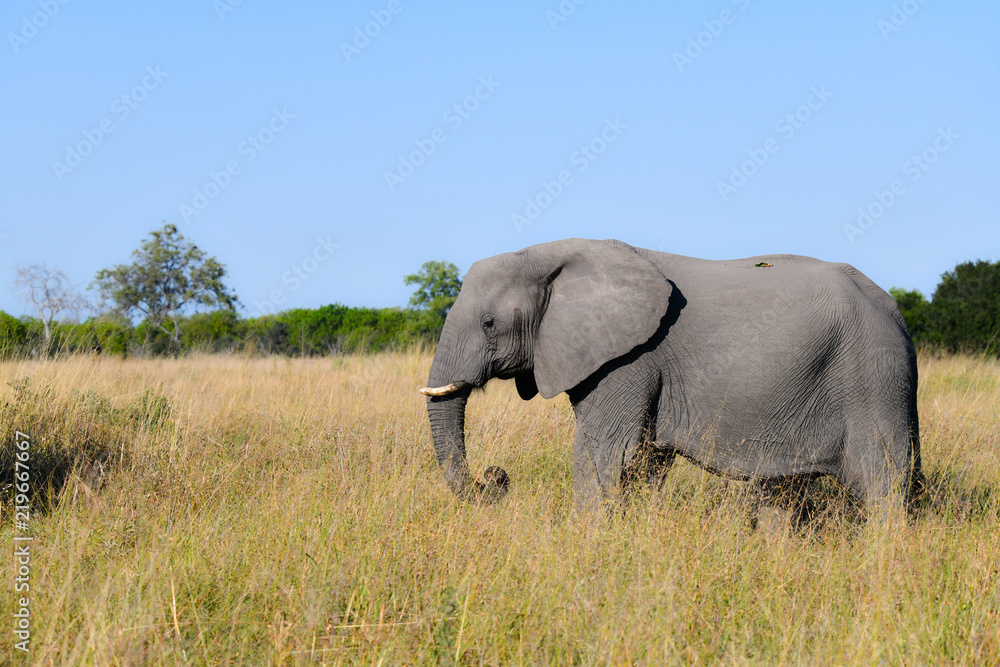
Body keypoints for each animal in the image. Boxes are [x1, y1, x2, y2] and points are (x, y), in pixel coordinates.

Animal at [416, 237, 920, 520]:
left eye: (488, 324)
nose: (495, 476)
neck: (548, 254)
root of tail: (894, 309)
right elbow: (644, 461)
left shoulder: (630, 360)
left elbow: (604, 452)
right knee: (783, 491)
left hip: (873, 378)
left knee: (882, 484)